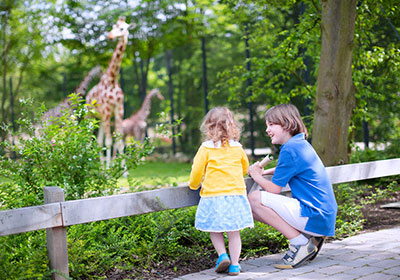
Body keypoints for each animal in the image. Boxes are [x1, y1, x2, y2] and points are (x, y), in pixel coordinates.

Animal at [86, 17, 134, 166]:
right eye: (113, 27)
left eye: (122, 28)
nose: (110, 36)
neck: (112, 81)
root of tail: (87, 96)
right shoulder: (107, 110)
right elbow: (109, 141)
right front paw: (109, 169)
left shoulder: (118, 110)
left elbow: (119, 141)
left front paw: (123, 170)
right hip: (90, 116)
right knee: (88, 138)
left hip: (101, 118)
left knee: (98, 141)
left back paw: (101, 167)